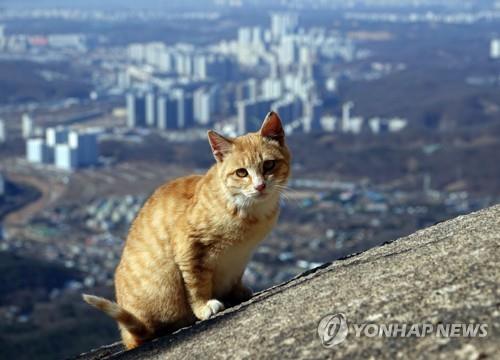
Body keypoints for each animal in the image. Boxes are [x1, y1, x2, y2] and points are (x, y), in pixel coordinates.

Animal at [82, 112, 292, 348]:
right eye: (241, 173)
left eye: (269, 165)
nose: (260, 186)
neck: (248, 213)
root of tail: (129, 336)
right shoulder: (190, 249)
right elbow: (196, 284)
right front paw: (204, 306)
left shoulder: (241, 257)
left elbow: (235, 277)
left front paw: (237, 292)